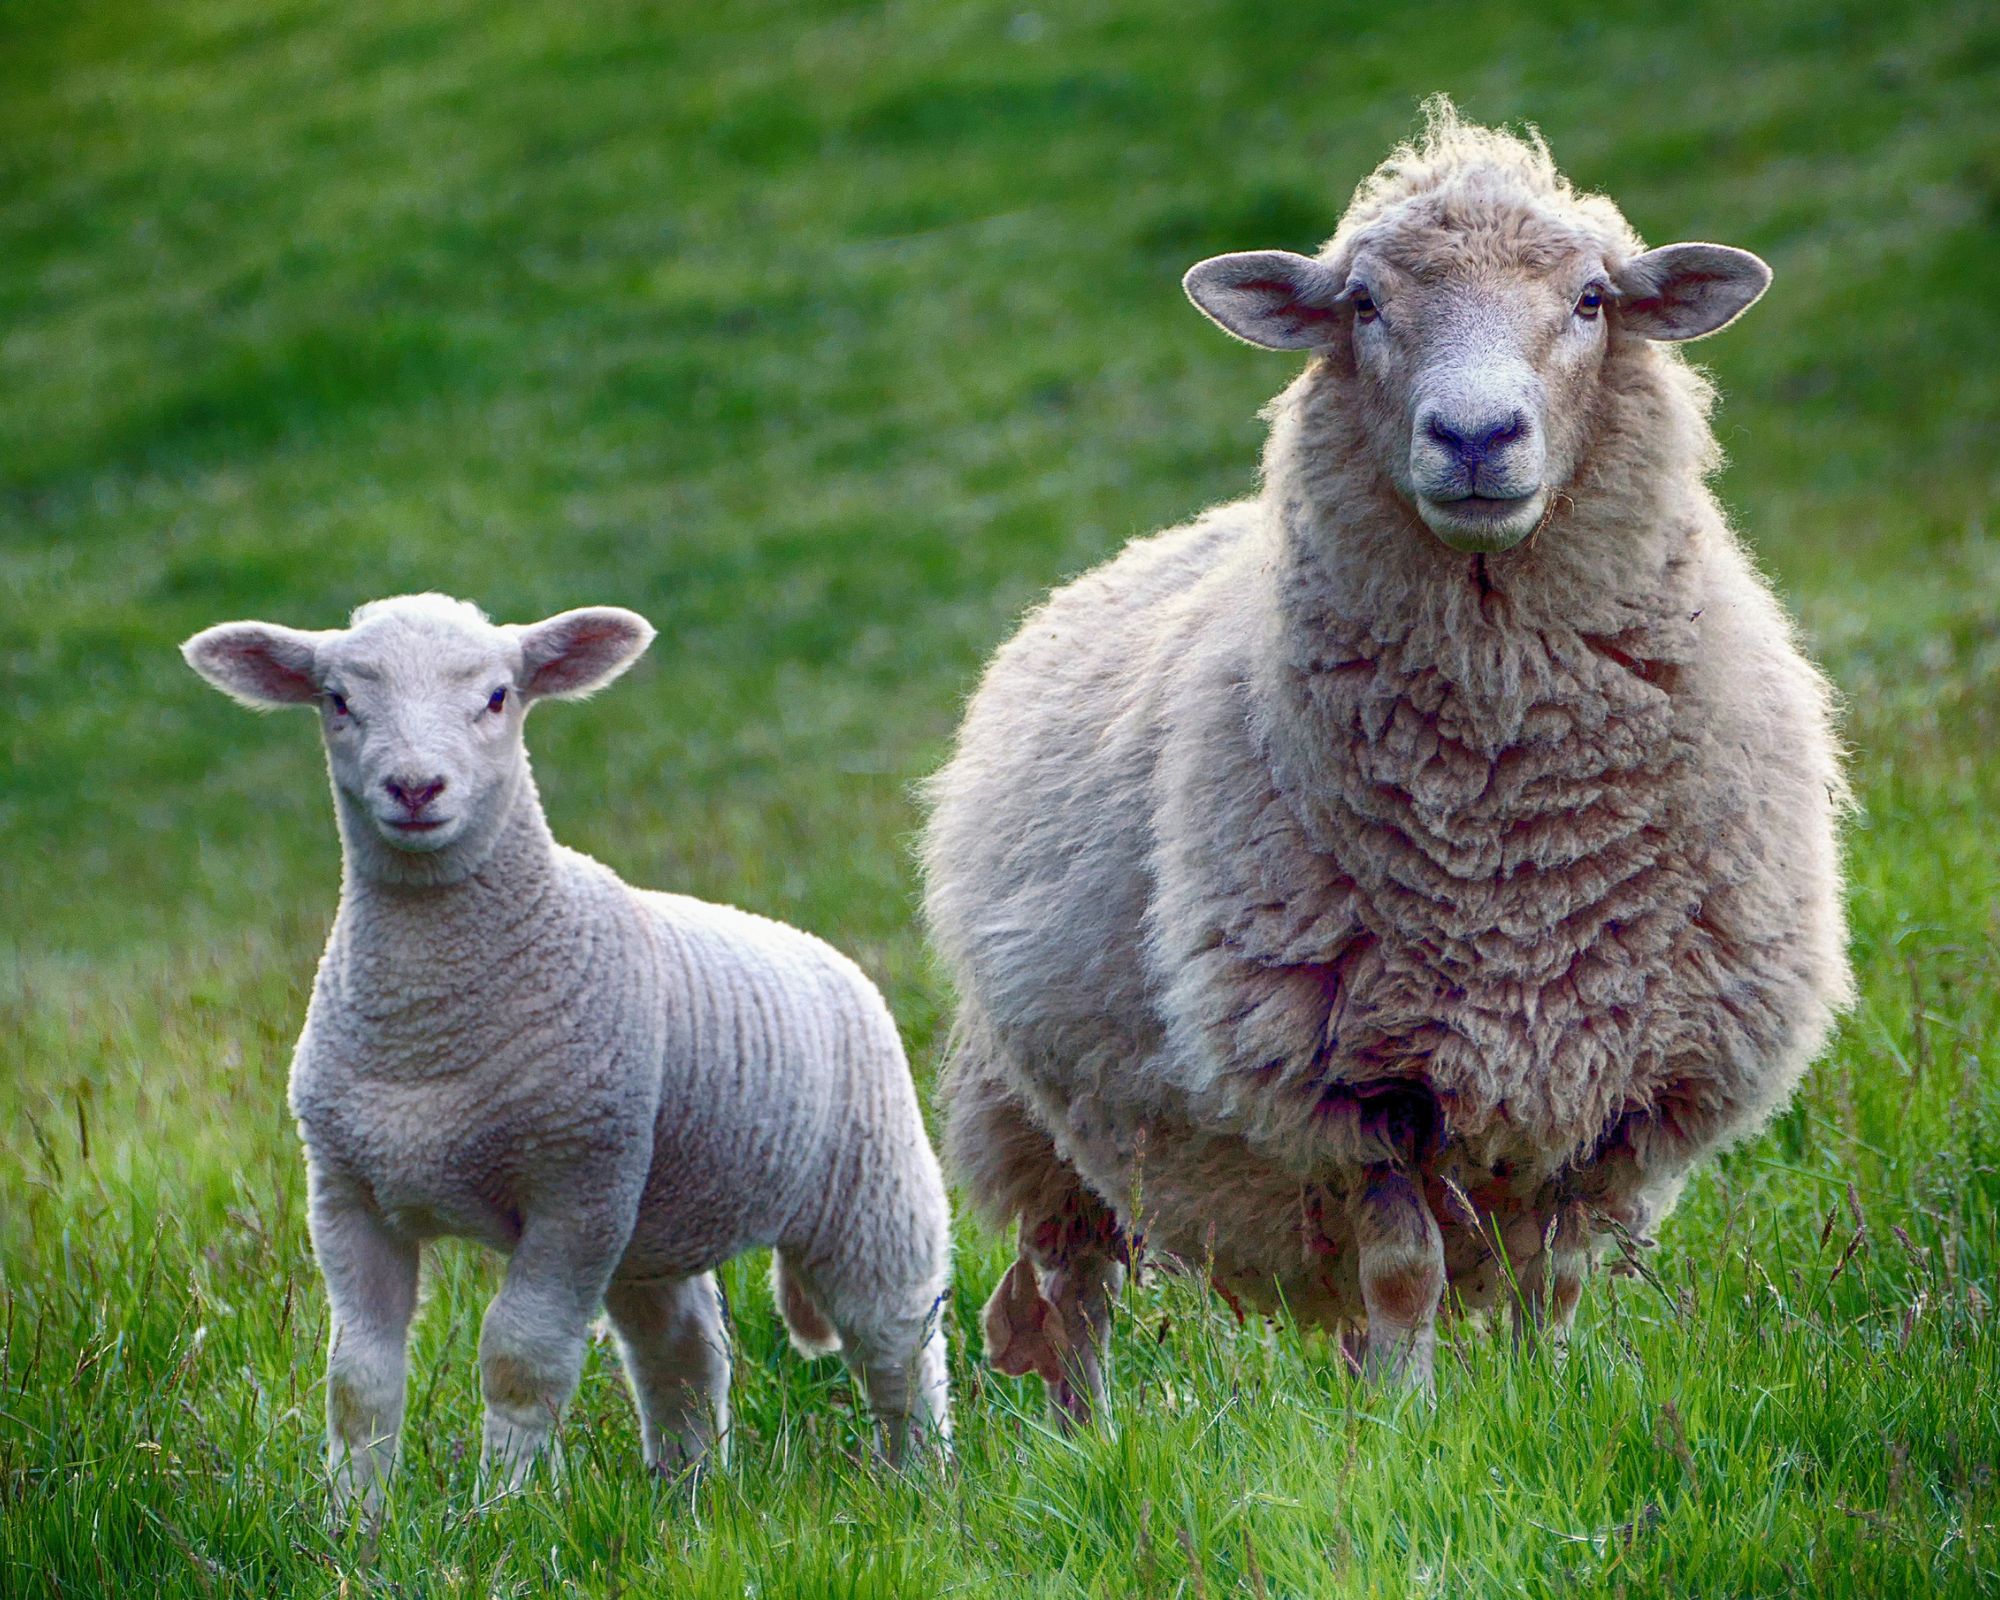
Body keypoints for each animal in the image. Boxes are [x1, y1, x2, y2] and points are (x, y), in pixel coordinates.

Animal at [182, 593, 951, 1518]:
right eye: (336, 700)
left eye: (498, 697)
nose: (415, 788)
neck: (428, 1031)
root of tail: (826, 954)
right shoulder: (347, 1193)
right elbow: (357, 1379)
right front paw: (350, 1521)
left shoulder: (574, 1186)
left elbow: (522, 1358)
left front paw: (497, 1512)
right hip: (652, 1219)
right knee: (683, 1353)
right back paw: (686, 1493)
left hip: (869, 1186)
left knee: (898, 1339)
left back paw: (920, 1483)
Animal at [922, 99, 1850, 1420]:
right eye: (1362, 303)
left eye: (1589, 299)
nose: (1473, 434)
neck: (1510, 836)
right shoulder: (1353, 1085)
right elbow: (1405, 1271)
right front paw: (1407, 1428)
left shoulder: (1617, 1080)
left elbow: (1552, 1280)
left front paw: (1535, 1404)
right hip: (1033, 1113)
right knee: (1069, 1287)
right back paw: (1086, 1435)